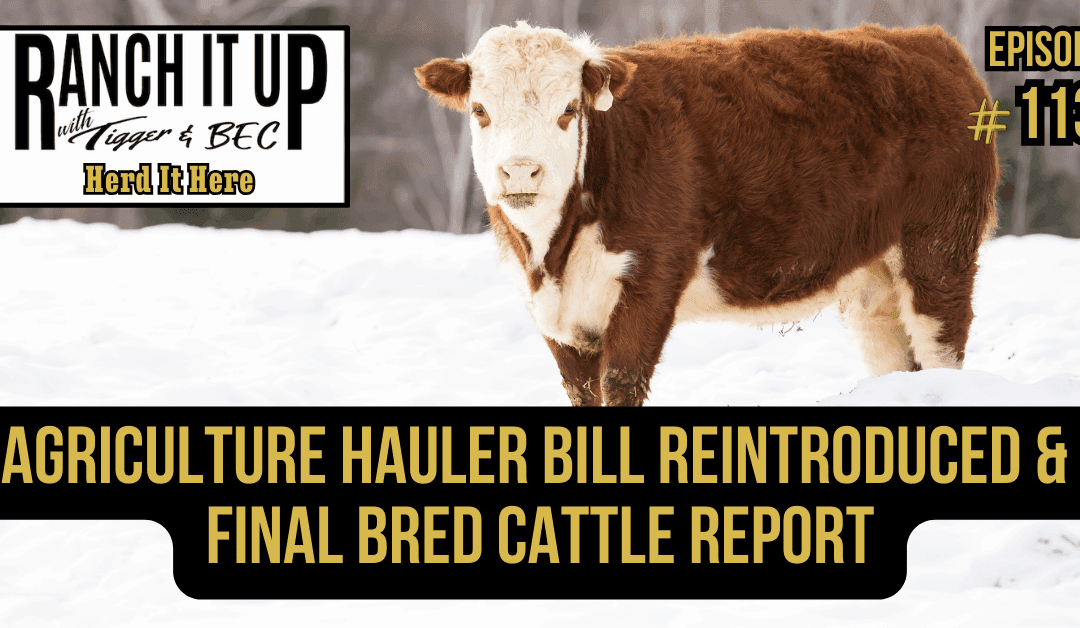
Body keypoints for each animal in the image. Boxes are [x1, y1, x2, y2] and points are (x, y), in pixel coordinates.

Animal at [415, 21, 1000, 406]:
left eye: (568, 110)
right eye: (480, 110)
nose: (520, 172)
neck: (552, 254)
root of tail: (927, 41)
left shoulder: (651, 281)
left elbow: (620, 383)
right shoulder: (552, 313)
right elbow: (582, 394)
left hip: (939, 249)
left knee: (942, 343)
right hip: (871, 279)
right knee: (895, 359)